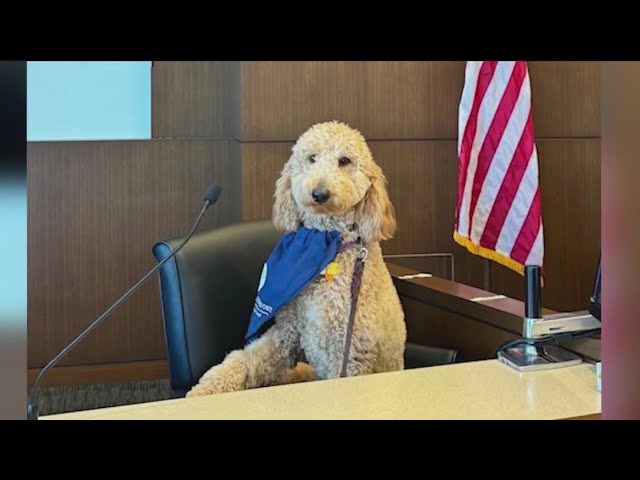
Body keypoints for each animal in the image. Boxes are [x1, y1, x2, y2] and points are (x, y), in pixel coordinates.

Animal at [188, 121, 404, 398]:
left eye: (344, 161)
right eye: (311, 158)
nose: (320, 193)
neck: (326, 244)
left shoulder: (348, 353)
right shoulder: (287, 334)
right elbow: (244, 360)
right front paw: (203, 390)